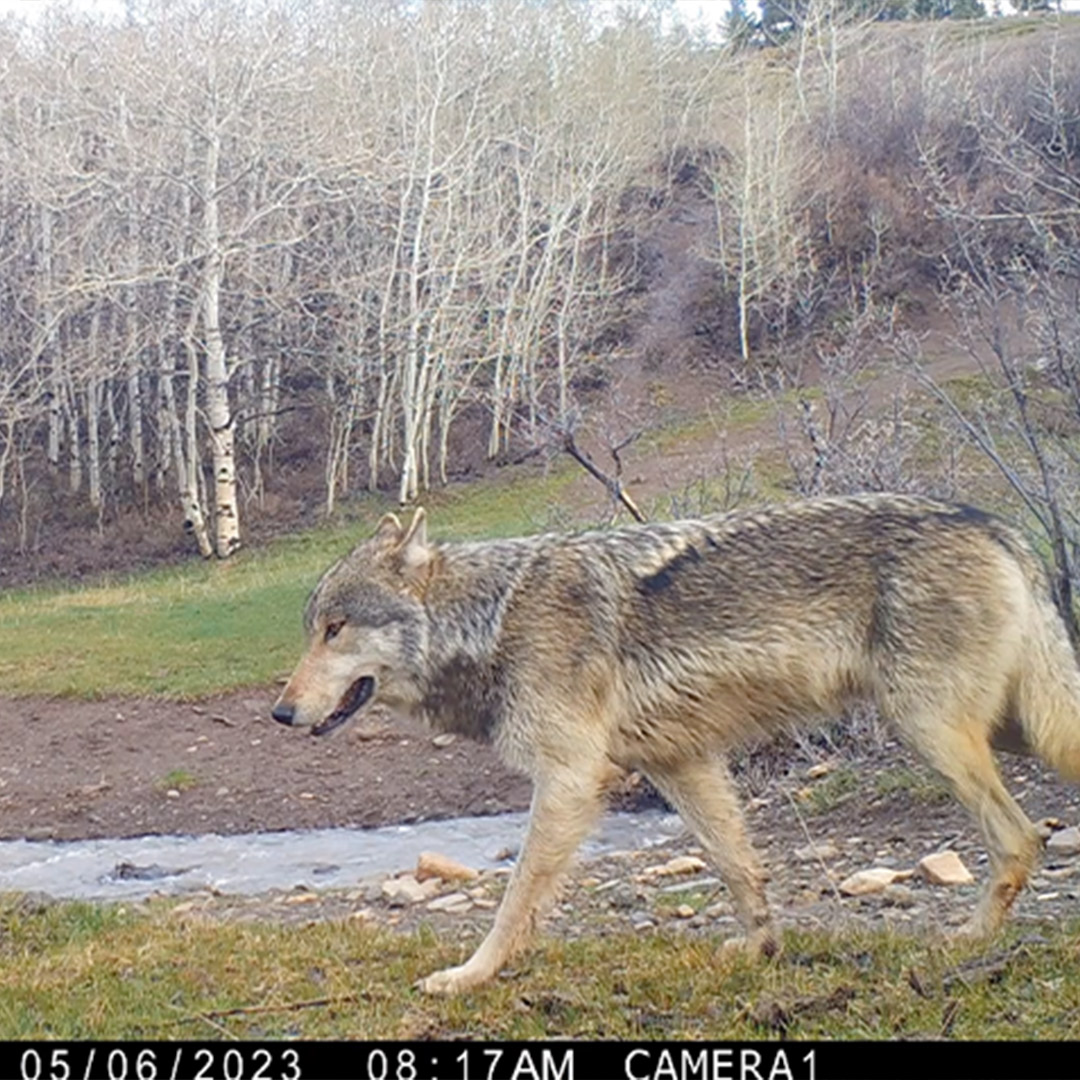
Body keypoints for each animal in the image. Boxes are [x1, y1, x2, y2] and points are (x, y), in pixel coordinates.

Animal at [271, 493, 1080, 995]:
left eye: (335, 629)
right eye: (312, 629)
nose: (280, 712)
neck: (491, 620)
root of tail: (997, 526)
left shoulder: (570, 779)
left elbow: (515, 899)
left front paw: (472, 976)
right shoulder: (680, 762)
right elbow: (737, 867)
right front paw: (759, 950)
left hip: (934, 730)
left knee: (1017, 838)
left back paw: (966, 939)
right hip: (1005, 729)